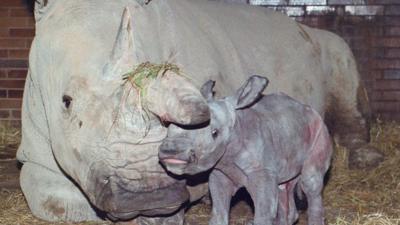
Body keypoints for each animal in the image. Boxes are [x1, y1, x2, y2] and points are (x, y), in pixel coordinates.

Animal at [158, 75, 332, 225]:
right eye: (168, 128)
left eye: (215, 133)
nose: (170, 152)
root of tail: (308, 109)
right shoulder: (219, 172)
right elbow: (218, 213)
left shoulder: (261, 171)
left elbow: (263, 214)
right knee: (284, 186)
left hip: (320, 131)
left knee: (311, 183)